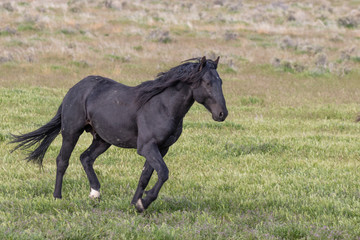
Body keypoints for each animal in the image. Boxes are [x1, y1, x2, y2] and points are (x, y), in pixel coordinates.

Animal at [10, 56, 228, 212]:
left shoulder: (161, 148)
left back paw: (95, 194)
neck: (162, 106)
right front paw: (143, 203)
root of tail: (75, 89)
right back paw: (58, 197)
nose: (222, 114)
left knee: (86, 158)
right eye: (207, 83)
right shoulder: (147, 147)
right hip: (71, 132)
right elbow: (163, 173)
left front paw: (135, 204)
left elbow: (146, 176)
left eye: (221, 82)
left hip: (103, 139)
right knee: (62, 161)